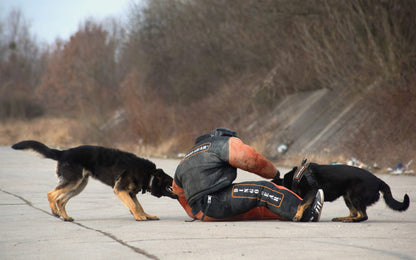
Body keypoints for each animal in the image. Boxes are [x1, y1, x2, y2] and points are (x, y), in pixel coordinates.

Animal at [11, 140, 177, 221]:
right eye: (172, 181)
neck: (149, 175)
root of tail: (63, 152)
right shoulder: (120, 190)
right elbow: (133, 206)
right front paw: (139, 217)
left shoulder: (130, 193)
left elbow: (139, 206)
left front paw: (147, 215)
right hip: (74, 181)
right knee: (51, 194)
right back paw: (54, 211)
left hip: (79, 185)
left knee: (61, 200)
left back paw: (65, 217)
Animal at [272, 159, 410, 222]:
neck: (295, 178)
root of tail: (378, 180)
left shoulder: (311, 191)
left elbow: (301, 204)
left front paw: (297, 215)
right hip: (347, 197)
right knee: (355, 213)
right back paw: (343, 218)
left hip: (354, 196)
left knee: (362, 216)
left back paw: (350, 220)